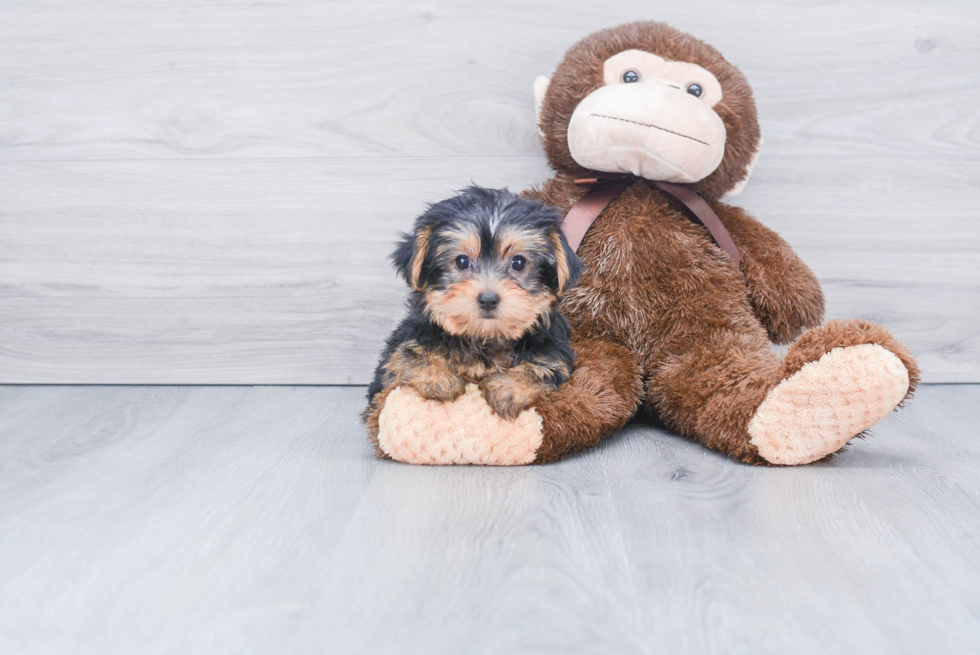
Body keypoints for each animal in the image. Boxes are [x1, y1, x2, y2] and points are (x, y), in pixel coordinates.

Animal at [366, 186, 580, 420]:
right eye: (462, 261)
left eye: (518, 263)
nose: (488, 299)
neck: (483, 338)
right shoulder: (406, 340)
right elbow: (406, 354)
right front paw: (439, 380)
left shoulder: (554, 349)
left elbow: (544, 365)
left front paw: (509, 388)